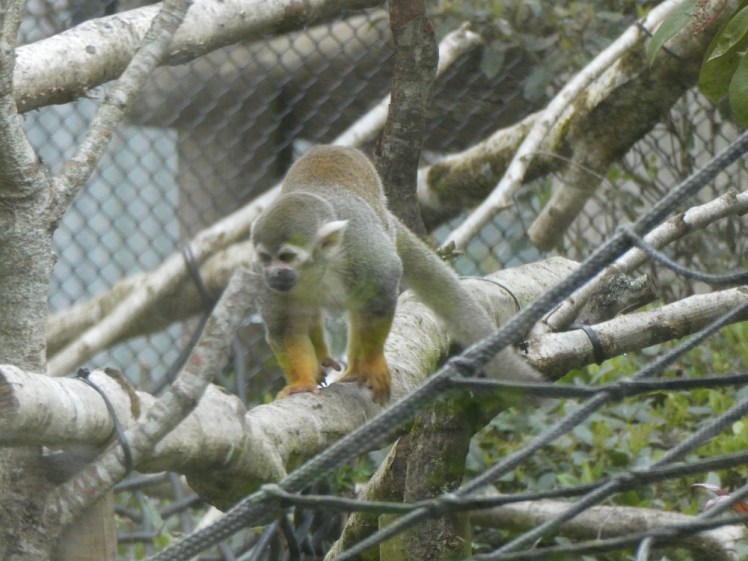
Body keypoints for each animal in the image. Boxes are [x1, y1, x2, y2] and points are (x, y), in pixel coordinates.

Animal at [249, 145, 542, 404]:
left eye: (286, 257)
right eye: (266, 258)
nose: (274, 273)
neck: (319, 269)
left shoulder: (362, 250)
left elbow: (381, 293)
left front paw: (370, 364)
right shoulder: (265, 283)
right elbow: (284, 329)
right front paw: (301, 383)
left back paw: (355, 367)